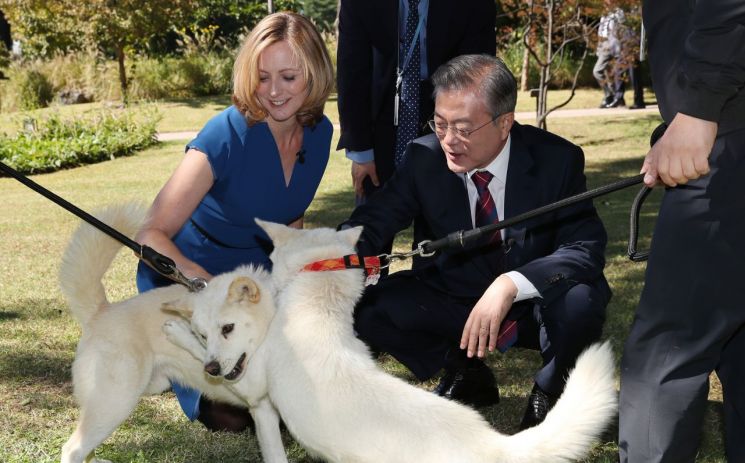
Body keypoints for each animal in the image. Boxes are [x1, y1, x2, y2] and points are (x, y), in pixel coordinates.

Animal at [56, 206, 284, 463]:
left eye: (227, 328)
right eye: (202, 336)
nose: (211, 370)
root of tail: (101, 311)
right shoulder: (259, 399)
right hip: (116, 400)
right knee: (73, 448)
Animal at [166, 221, 620, 463]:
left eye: (225, 331)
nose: (213, 368)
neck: (317, 310)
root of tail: (492, 444)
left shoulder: (253, 387)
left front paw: (175, 326)